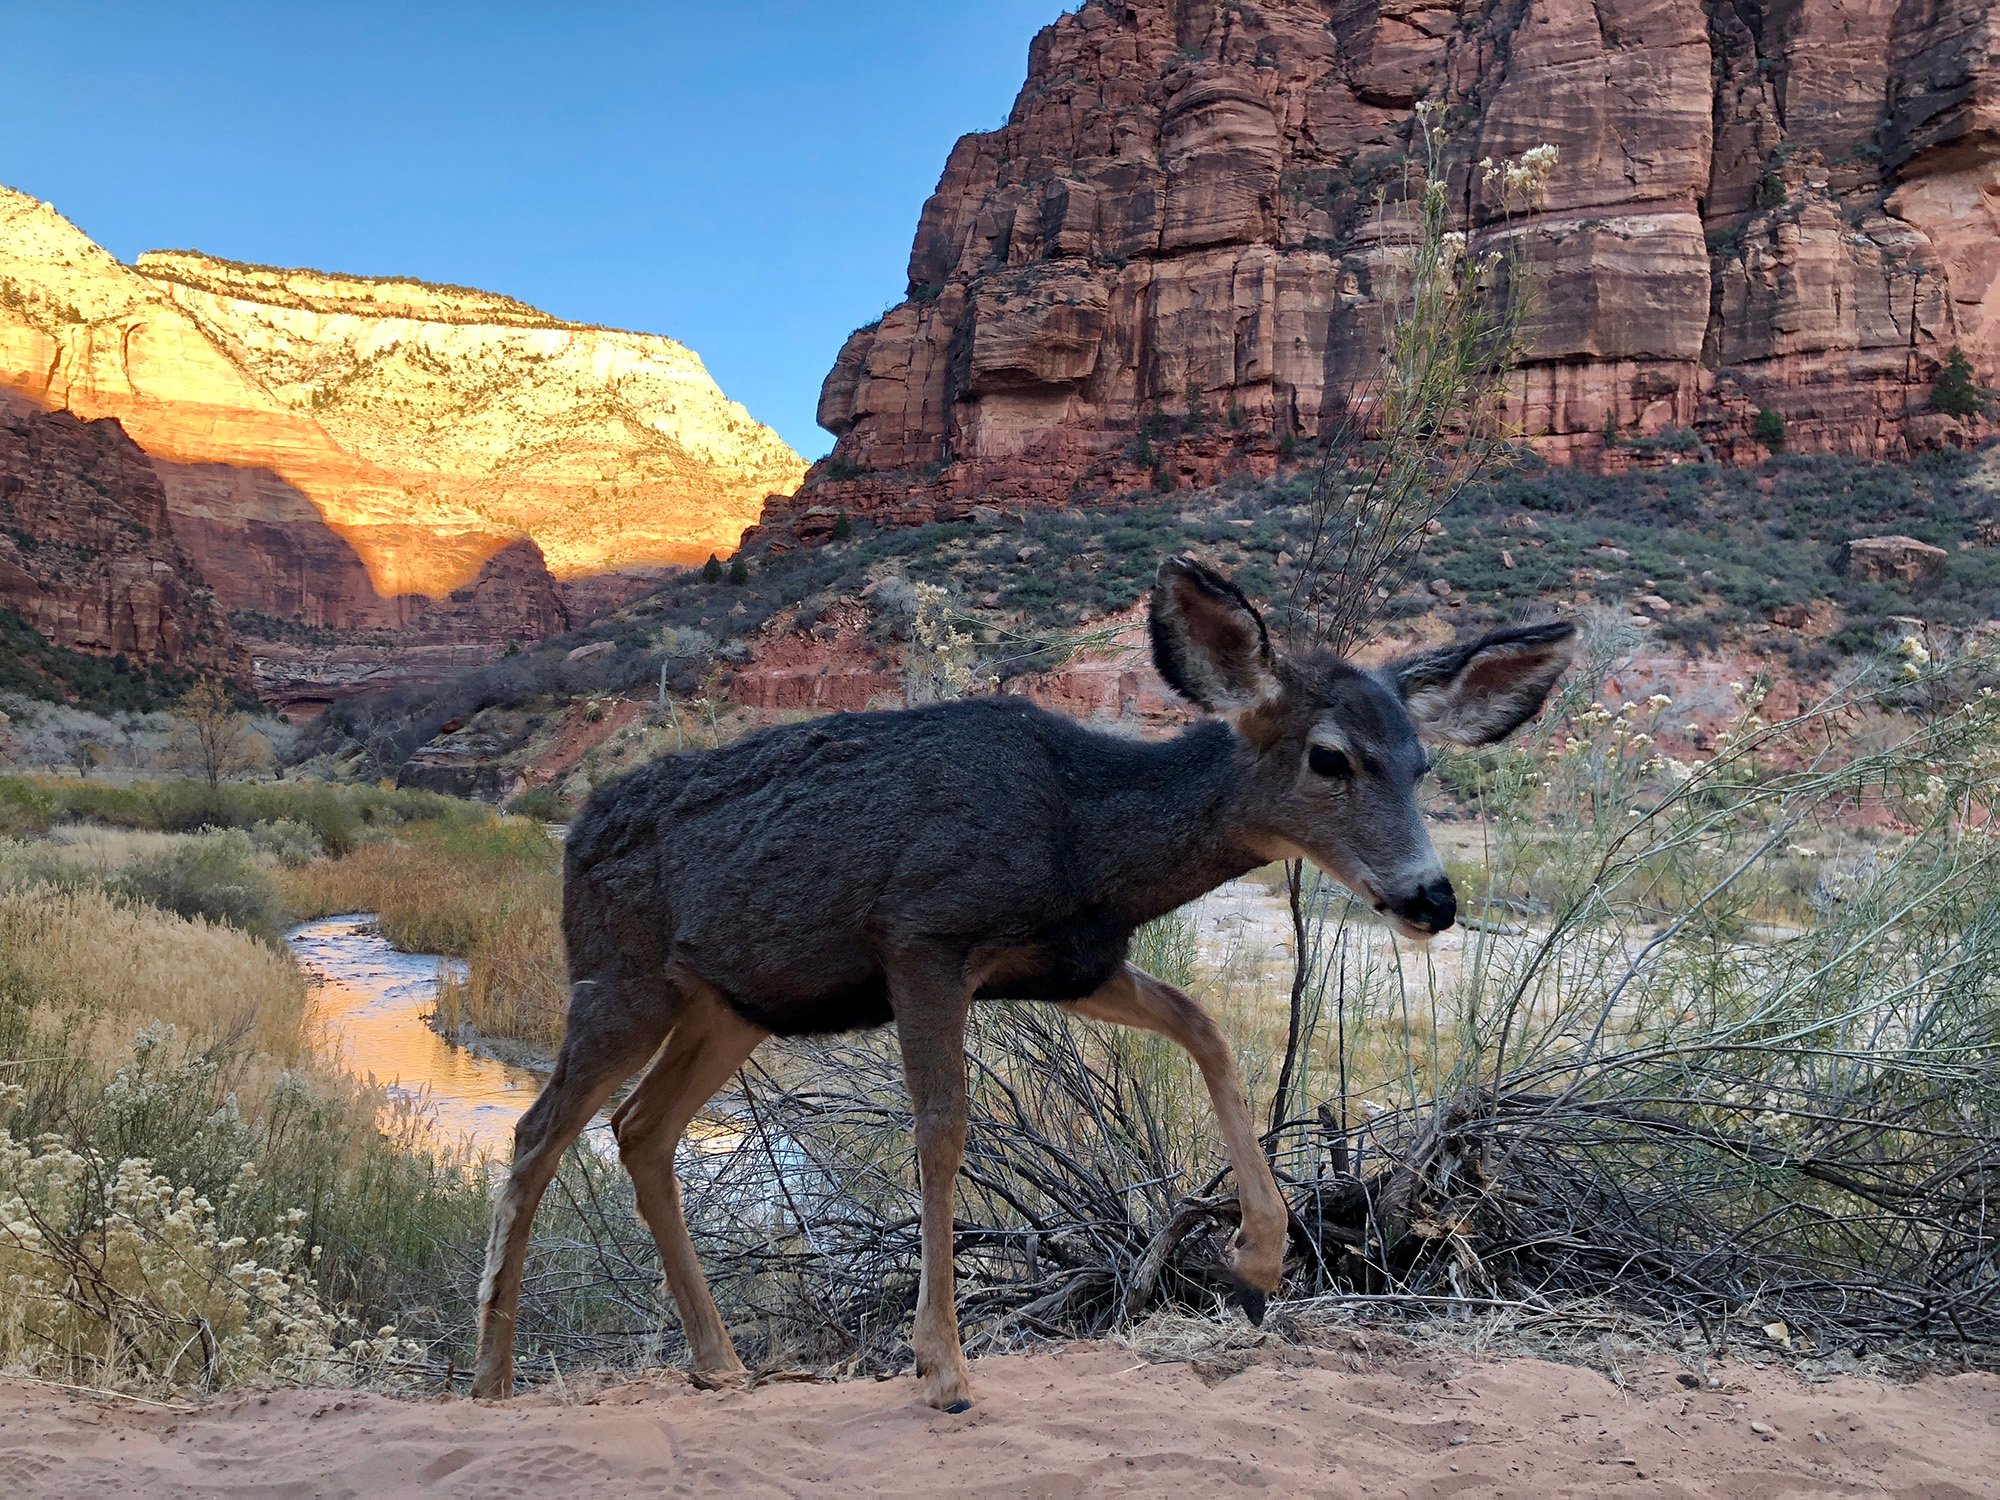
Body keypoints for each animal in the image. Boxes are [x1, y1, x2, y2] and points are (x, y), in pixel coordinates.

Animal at [471, 556, 1575, 1412]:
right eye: (1331, 758)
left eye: (1421, 763)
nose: (1431, 898)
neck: (1081, 834)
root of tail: (574, 831)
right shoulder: (924, 940)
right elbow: (940, 1130)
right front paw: (942, 1367)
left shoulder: (1066, 965)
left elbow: (1202, 1024)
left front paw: (1259, 1258)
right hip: (616, 977)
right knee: (538, 1132)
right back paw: (490, 1377)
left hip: (733, 1003)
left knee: (639, 1128)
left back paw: (716, 1363)